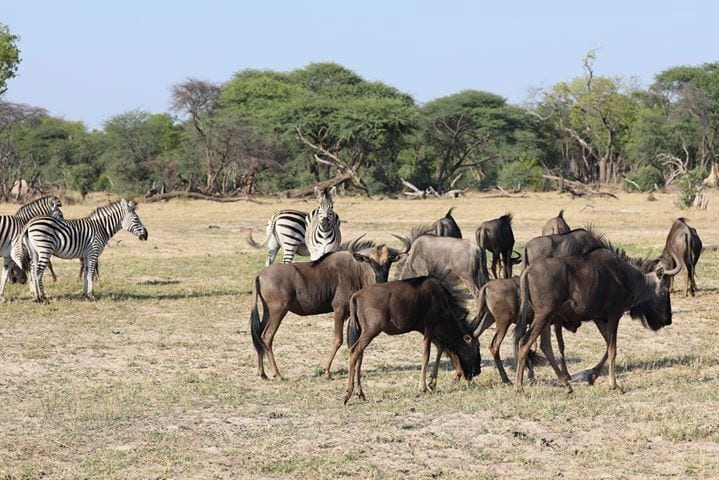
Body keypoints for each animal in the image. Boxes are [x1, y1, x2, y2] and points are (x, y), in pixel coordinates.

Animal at [11, 198, 148, 302]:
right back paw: (43, 297)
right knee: (38, 272)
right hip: (45, 249)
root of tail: (29, 223)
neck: (101, 227)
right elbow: (91, 273)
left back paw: (36, 297)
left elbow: (87, 273)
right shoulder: (93, 252)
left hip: (34, 251)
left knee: (33, 270)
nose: (146, 235)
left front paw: (85, 295)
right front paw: (92, 296)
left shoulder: (87, 255)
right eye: (136, 219)